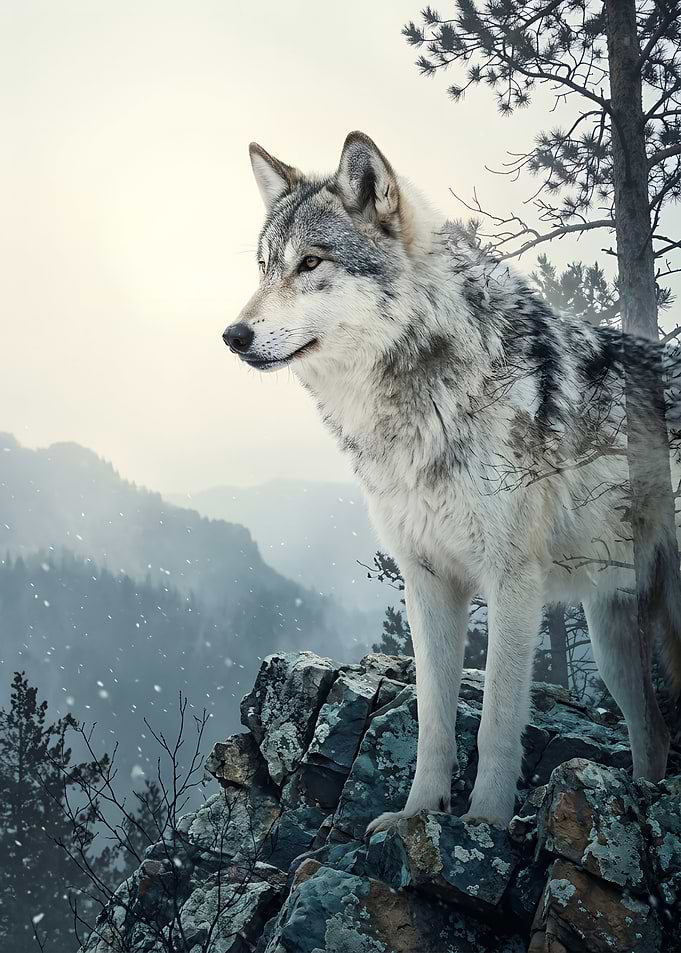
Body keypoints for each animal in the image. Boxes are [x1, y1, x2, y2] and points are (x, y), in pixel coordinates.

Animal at [223, 131, 681, 830]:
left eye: (311, 263)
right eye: (264, 267)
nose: (233, 334)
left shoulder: (513, 582)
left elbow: (495, 722)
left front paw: (484, 824)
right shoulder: (429, 581)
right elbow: (434, 720)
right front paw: (417, 817)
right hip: (611, 634)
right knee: (653, 733)